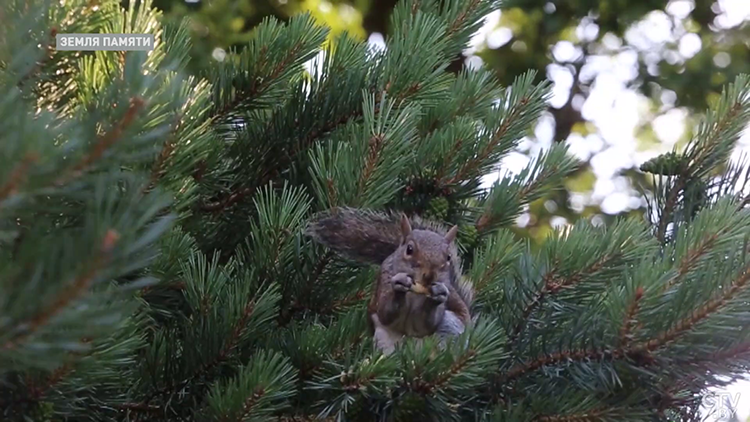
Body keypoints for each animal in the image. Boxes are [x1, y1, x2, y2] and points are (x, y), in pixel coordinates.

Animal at [304, 207, 470, 352]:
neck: (414, 293)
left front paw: (438, 294)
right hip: (383, 337)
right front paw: (399, 286)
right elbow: (385, 312)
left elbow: (426, 324)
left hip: (450, 327)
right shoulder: (384, 278)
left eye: (448, 257)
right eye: (409, 249)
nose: (429, 276)